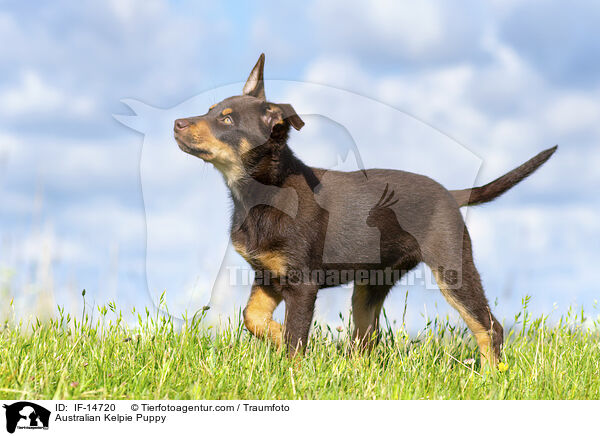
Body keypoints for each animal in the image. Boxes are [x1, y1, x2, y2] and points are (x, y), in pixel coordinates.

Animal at [173, 54, 556, 368]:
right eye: (210, 110)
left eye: (226, 120)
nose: (177, 123)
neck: (261, 191)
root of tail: (450, 193)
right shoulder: (267, 275)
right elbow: (251, 318)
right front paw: (279, 337)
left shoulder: (302, 284)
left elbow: (296, 339)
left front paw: (290, 366)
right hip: (371, 284)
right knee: (366, 340)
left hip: (453, 268)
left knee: (489, 327)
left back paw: (491, 377)